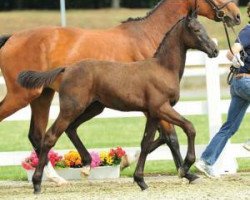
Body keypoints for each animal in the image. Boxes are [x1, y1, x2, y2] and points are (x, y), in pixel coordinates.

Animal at [0, 0, 238, 183]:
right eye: (196, 30)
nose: (235, 15)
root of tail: (11, 38)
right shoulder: (158, 106)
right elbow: (173, 135)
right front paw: (185, 171)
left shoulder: (151, 109)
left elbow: (156, 139)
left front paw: (128, 163)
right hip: (24, 96)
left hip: (49, 97)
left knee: (43, 133)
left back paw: (62, 174)